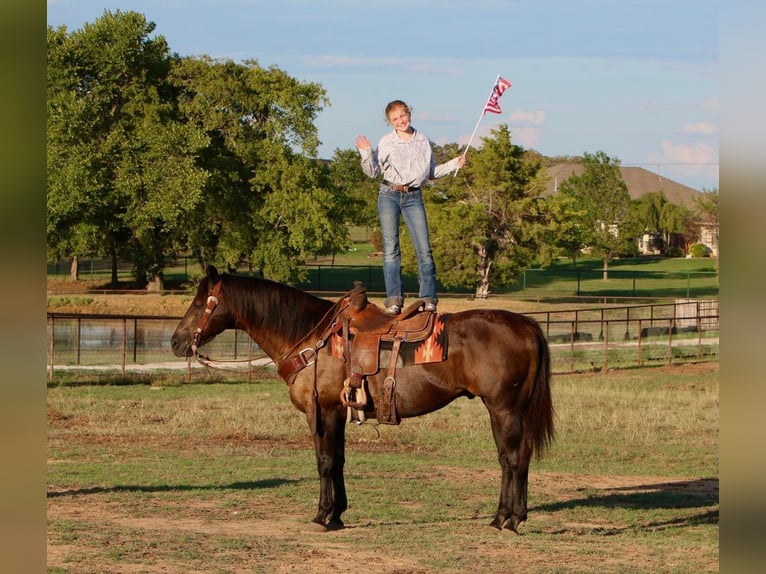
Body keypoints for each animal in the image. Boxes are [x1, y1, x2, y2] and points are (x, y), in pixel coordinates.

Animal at [171, 268, 556, 532]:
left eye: (199, 302)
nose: (175, 342)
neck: (310, 338)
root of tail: (526, 326)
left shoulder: (322, 411)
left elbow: (325, 462)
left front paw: (323, 516)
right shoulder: (339, 412)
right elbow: (338, 461)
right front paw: (338, 514)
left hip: (503, 410)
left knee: (511, 460)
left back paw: (506, 519)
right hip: (510, 411)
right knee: (518, 458)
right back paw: (510, 516)